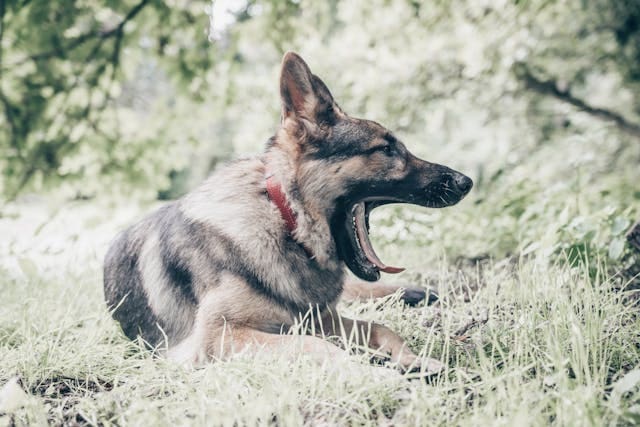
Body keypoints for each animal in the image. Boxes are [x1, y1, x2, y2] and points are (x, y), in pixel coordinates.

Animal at [102, 52, 472, 374]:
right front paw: (377, 374)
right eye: (386, 149)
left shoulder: (321, 318)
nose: (466, 182)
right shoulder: (220, 337)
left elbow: (381, 328)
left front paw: (413, 359)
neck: (285, 222)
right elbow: (316, 345)